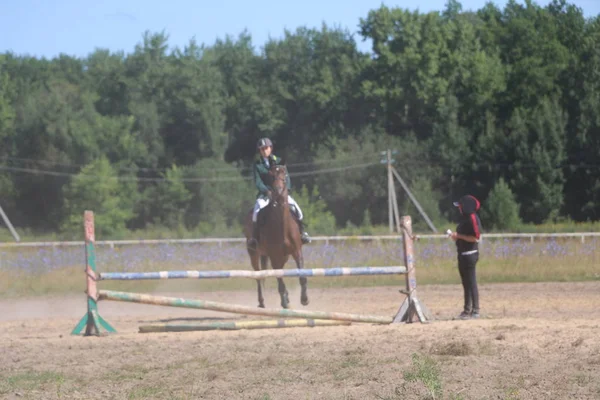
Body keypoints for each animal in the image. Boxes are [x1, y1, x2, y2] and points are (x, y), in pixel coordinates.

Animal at [244, 162, 310, 310]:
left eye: (284, 175)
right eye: (271, 176)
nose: (278, 190)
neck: (282, 226)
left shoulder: (297, 251)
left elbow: (301, 274)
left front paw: (304, 299)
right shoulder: (274, 255)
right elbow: (278, 277)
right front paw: (284, 301)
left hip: (283, 256)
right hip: (254, 254)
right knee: (259, 275)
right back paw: (262, 301)